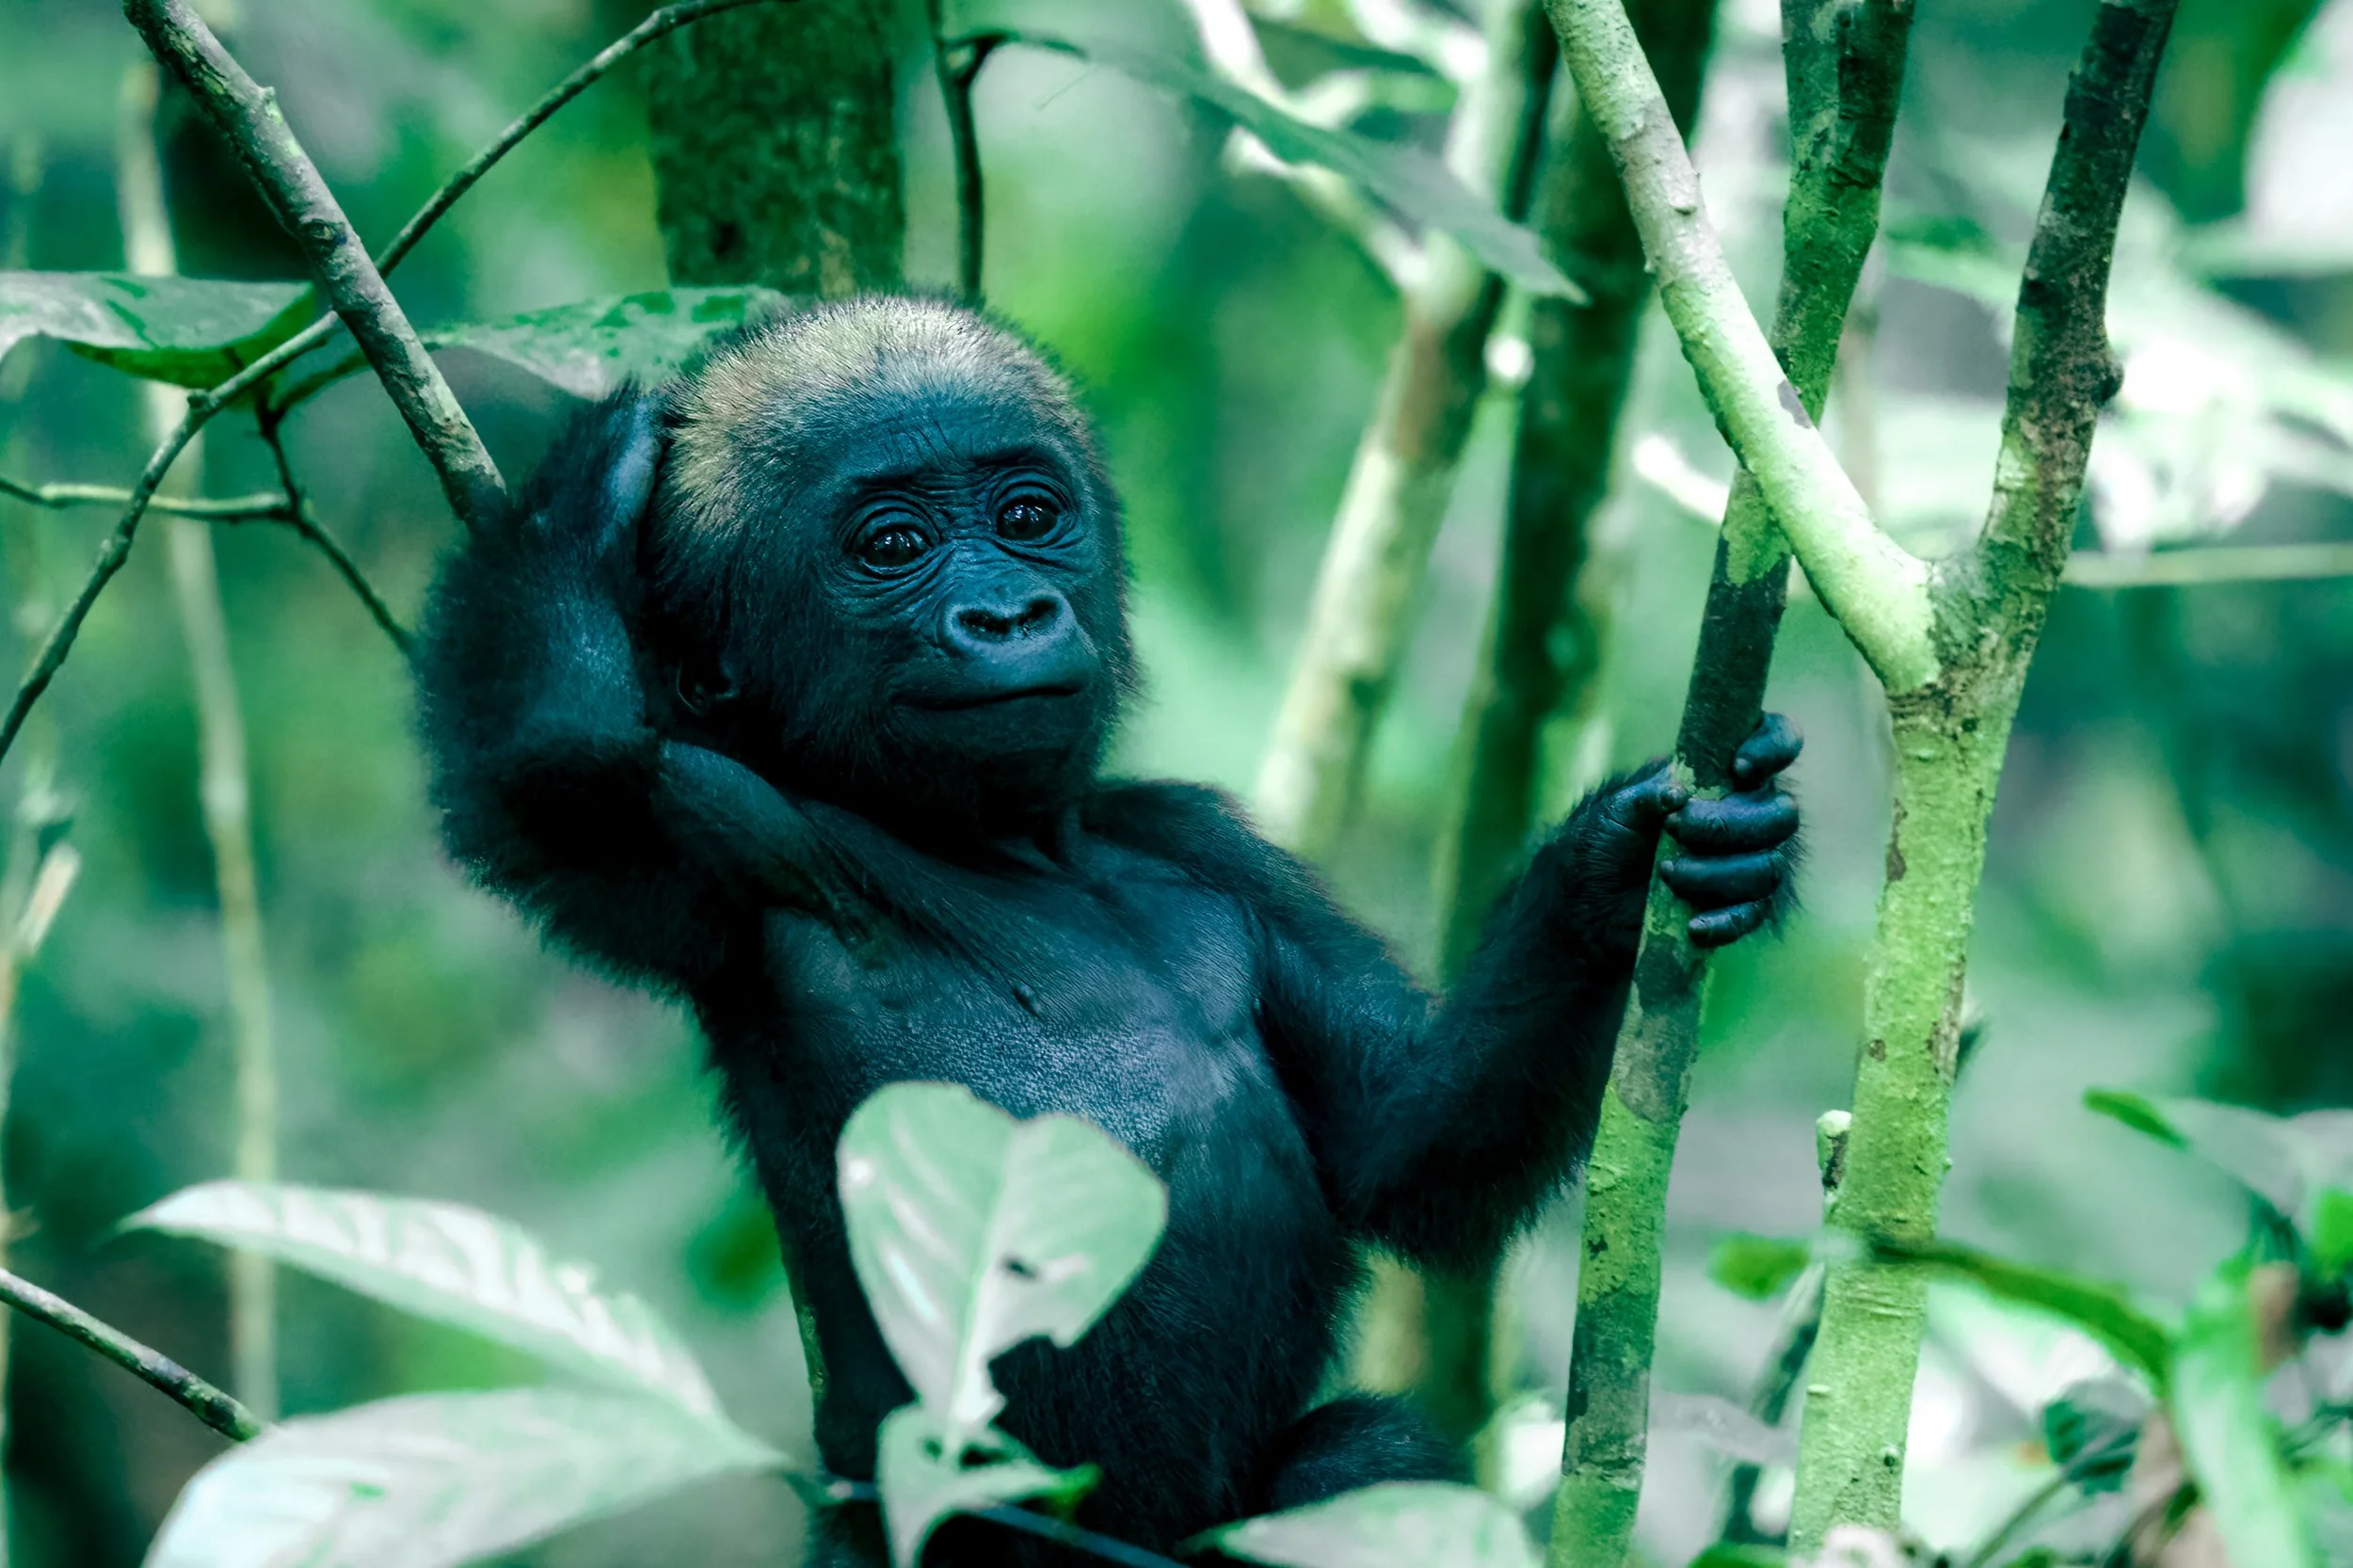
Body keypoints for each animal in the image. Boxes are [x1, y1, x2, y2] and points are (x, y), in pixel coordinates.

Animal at [414, 296, 1801, 1564]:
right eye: (894, 543)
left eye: (1029, 518)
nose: (1008, 612)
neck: (1017, 847)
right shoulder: (721, 837)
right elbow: (562, 770)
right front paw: (590, 477)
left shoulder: (1203, 845)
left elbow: (1410, 1138)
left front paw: (1625, 863)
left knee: (1368, 1463)